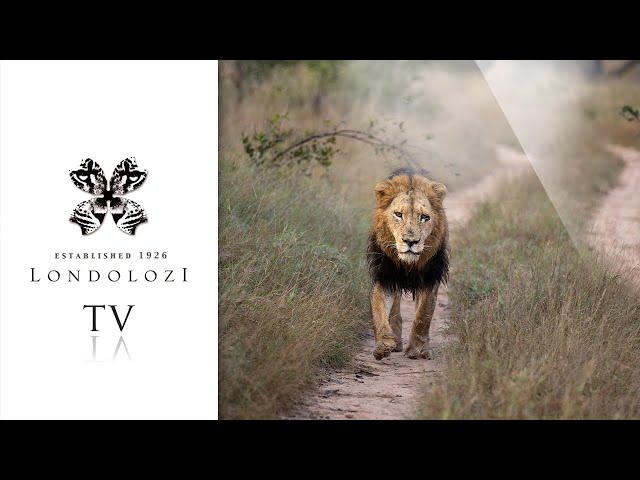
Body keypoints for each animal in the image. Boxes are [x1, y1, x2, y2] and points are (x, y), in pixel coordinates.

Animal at [368, 169, 448, 360]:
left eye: (424, 217)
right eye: (398, 214)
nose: (410, 241)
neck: (408, 264)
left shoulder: (430, 278)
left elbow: (423, 315)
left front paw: (417, 350)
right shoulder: (384, 276)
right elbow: (379, 310)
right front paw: (383, 344)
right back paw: (396, 341)